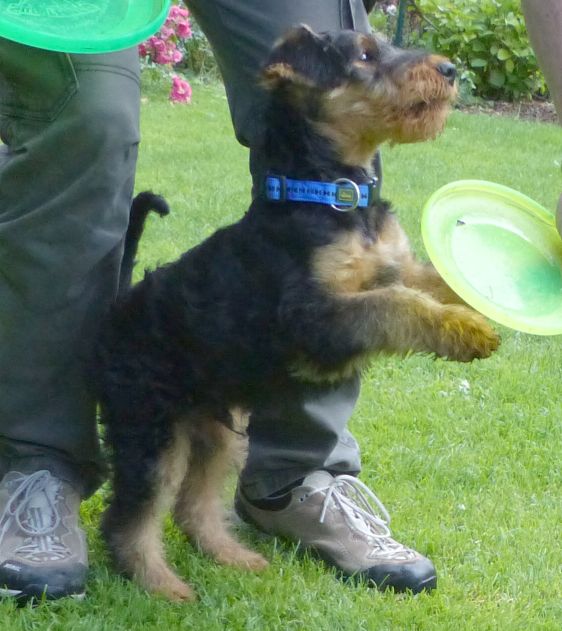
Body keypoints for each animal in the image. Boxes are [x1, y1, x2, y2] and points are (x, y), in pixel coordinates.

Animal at [94, 25, 500, 601]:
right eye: (365, 55)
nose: (449, 71)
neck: (332, 191)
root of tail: (120, 305)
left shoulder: (395, 266)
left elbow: (437, 282)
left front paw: (486, 304)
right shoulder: (312, 317)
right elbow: (395, 305)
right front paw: (465, 331)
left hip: (217, 431)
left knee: (194, 505)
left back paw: (233, 558)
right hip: (151, 428)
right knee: (132, 514)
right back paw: (161, 585)